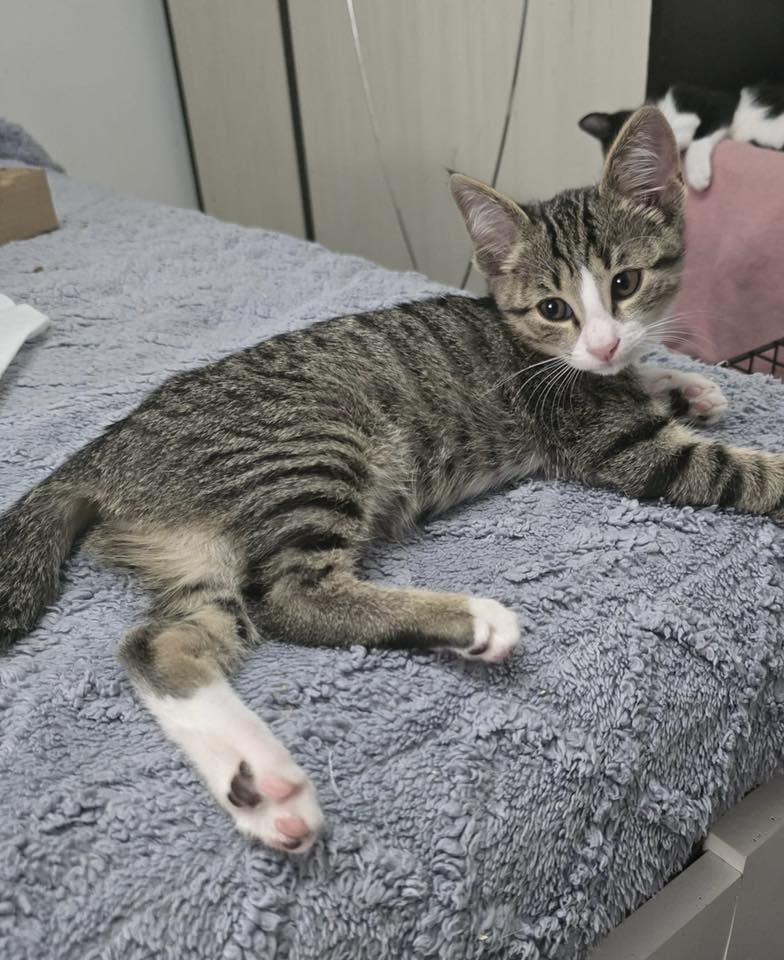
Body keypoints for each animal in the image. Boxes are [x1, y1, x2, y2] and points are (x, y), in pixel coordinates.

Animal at [2, 107, 782, 854]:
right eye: (553, 308)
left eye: (625, 283)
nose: (604, 340)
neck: (546, 353)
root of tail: (105, 449)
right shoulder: (603, 437)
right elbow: (726, 467)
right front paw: (694, 405)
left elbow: (648, 378)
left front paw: (683, 383)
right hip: (313, 447)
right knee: (292, 596)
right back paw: (471, 621)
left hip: (198, 552)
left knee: (158, 643)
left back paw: (264, 787)